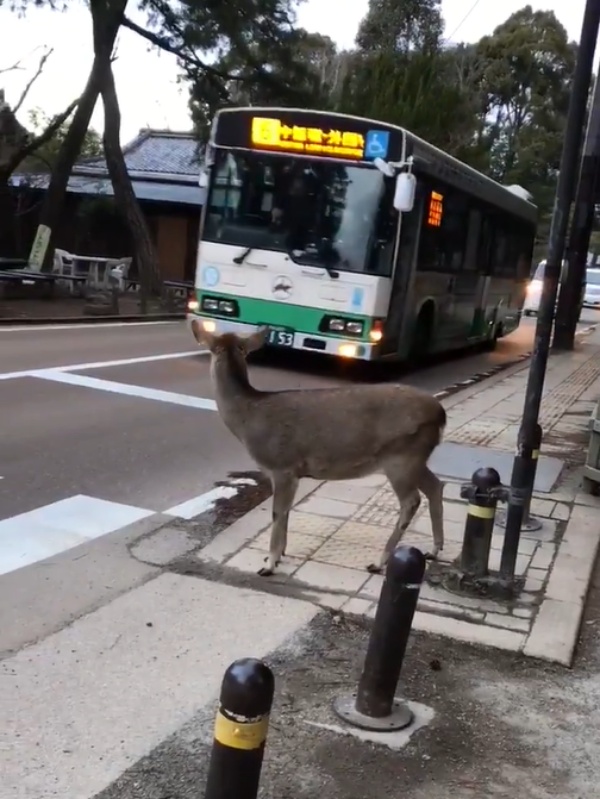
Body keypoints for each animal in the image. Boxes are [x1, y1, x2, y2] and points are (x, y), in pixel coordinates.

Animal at [192, 322, 446, 580]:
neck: (247, 419)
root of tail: (440, 414)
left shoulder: (281, 465)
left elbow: (277, 512)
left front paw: (269, 563)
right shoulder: (292, 473)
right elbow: (286, 512)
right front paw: (279, 554)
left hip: (400, 456)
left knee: (411, 500)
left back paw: (379, 561)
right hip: (415, 457)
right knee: (436, 486)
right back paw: (434, 550)